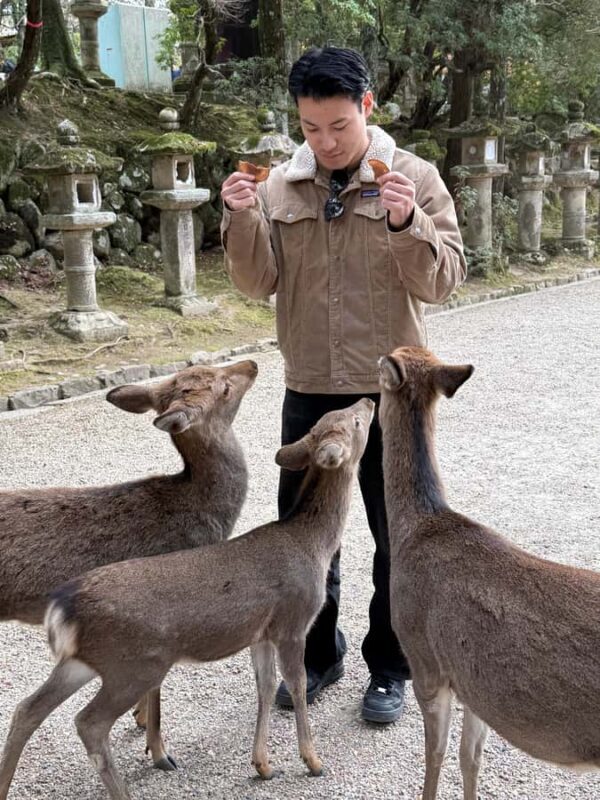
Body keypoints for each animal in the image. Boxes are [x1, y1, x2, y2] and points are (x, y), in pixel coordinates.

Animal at [377, 345, 600, 800]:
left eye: (380, 365)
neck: (416, 529)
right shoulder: (473, 682)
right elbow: (470, 757)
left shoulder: (423, 658)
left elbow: (435, 754)